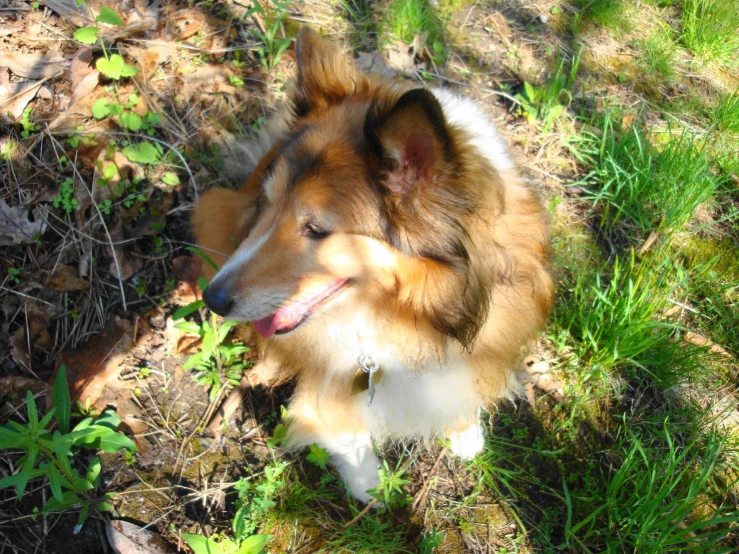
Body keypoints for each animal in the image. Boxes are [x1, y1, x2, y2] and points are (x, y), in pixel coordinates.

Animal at [194, 25, 552, 500]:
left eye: (316, 228)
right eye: (266, 205)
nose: (212, 300)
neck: (408, 312)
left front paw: (464, 431)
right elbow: (343, 425)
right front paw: (370, 486)